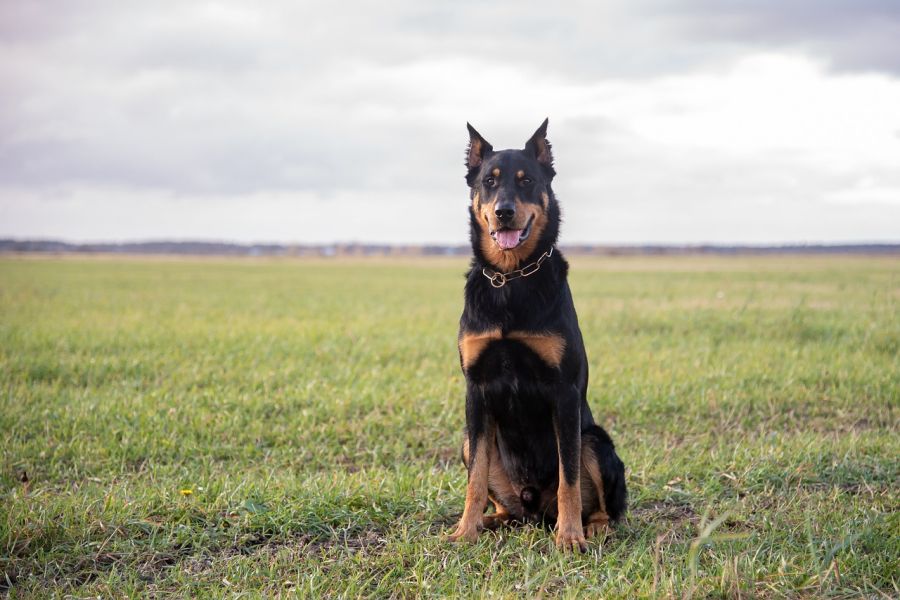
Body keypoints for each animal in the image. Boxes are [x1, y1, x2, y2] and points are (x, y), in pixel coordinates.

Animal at [448, 119, 624, 552]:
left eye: (527, 181)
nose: (504, 212)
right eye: (489, 182)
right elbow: (475, 479)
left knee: (603, 505)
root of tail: (532, 509)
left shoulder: (564, 393)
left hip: (595, 441)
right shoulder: (476, 390)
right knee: (502, 499)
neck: (511, 279)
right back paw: (491, 521)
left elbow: (569, 480)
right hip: (468, 442)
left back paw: (591, 527)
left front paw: (570, 536)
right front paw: (465, 530)